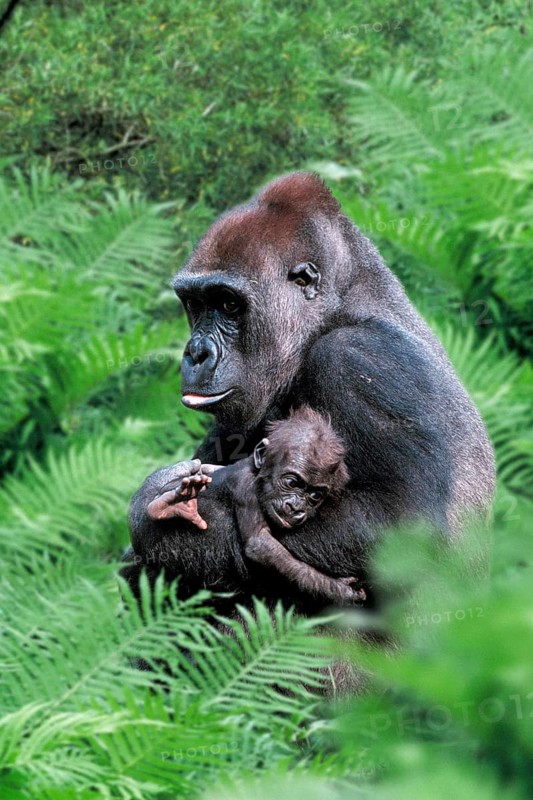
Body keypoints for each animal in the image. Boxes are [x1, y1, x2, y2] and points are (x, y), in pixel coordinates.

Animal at [123, 171, 496, 613]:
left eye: (229, 304)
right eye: (195, 303)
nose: (195, 353)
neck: (334, 308)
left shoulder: (359, 358)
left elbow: (401, 530)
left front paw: (157, 522)